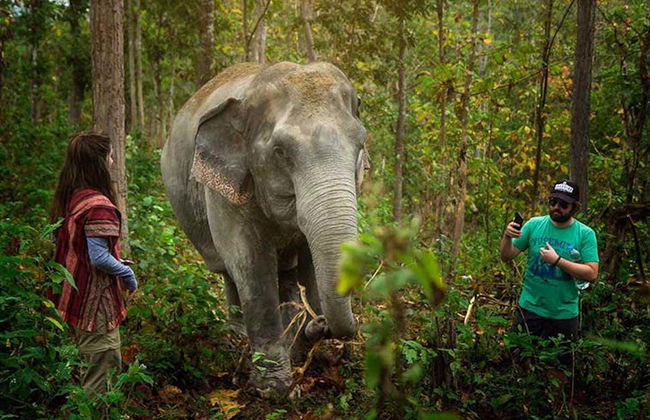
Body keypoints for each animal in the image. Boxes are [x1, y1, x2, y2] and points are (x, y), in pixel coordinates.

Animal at [160, 61, 368, 399]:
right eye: (281, 151)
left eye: (361, 143)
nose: (320, 322)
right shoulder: (225, 185)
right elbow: (251, 262)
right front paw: (274, 389)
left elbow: (309, 263)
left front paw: (316, 353)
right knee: (229, 271)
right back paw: (239, 334)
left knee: (286, 272)